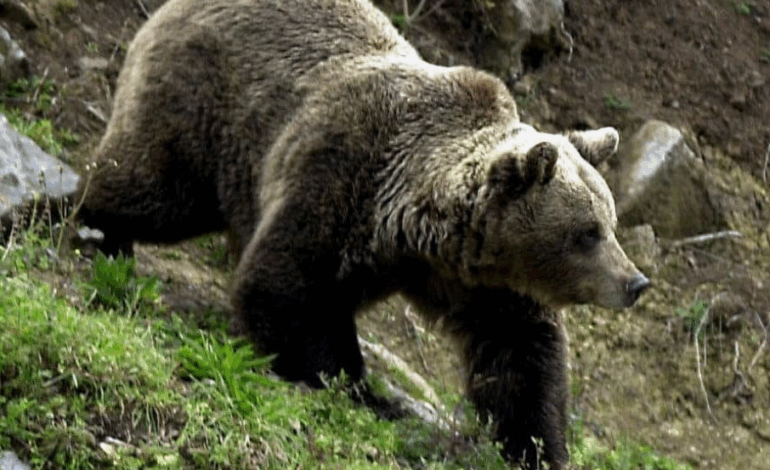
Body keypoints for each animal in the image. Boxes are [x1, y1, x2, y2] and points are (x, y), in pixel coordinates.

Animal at [74, 0, 651, 468]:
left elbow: (522, 358)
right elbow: (286, 288)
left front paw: (537, 446)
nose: (635, 282)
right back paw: (96, 230)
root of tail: (173, 7)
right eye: (587, 232)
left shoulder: (484, 281)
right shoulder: (340, 173)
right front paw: (363, 391)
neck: (418, 229)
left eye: (610, 223)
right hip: (208, 111)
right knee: (155, 187)